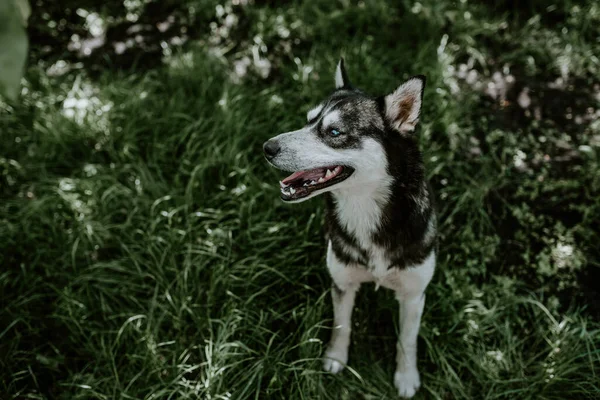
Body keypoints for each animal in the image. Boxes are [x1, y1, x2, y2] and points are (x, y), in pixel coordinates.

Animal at [262, 58, 436, 396]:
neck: (364, 208)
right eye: (308, 121)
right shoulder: (342, 281)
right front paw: (335, 359)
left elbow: (407, 339)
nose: (267, 147)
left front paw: (407, 376)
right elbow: (342, 325)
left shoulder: (414, 293)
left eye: (334, 131)